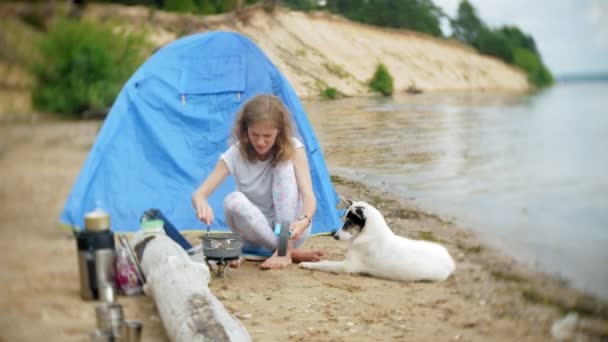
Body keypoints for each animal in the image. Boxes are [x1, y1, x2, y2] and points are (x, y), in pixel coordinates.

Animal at [300, 200, 456, 280]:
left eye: (349, 223)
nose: (335, 236)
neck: (369, 233)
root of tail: (450, 261)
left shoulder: (348, 266)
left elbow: (325, 263)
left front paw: (306, 264)